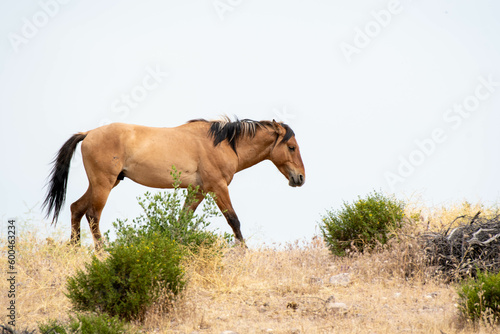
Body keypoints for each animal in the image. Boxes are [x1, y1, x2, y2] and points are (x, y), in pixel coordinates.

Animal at [43, 116, 306, 249]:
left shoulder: (198, 191)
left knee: (76, 208)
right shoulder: (218, 187)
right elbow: (234, 220)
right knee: (92, 215)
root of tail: (88, 133)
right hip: (103, 185)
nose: (300, 178)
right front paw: (244, 252)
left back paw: (74, 249)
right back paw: (102, 252)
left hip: (104, 184)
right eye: (292, 147)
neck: (222, 143)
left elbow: (182, 221)